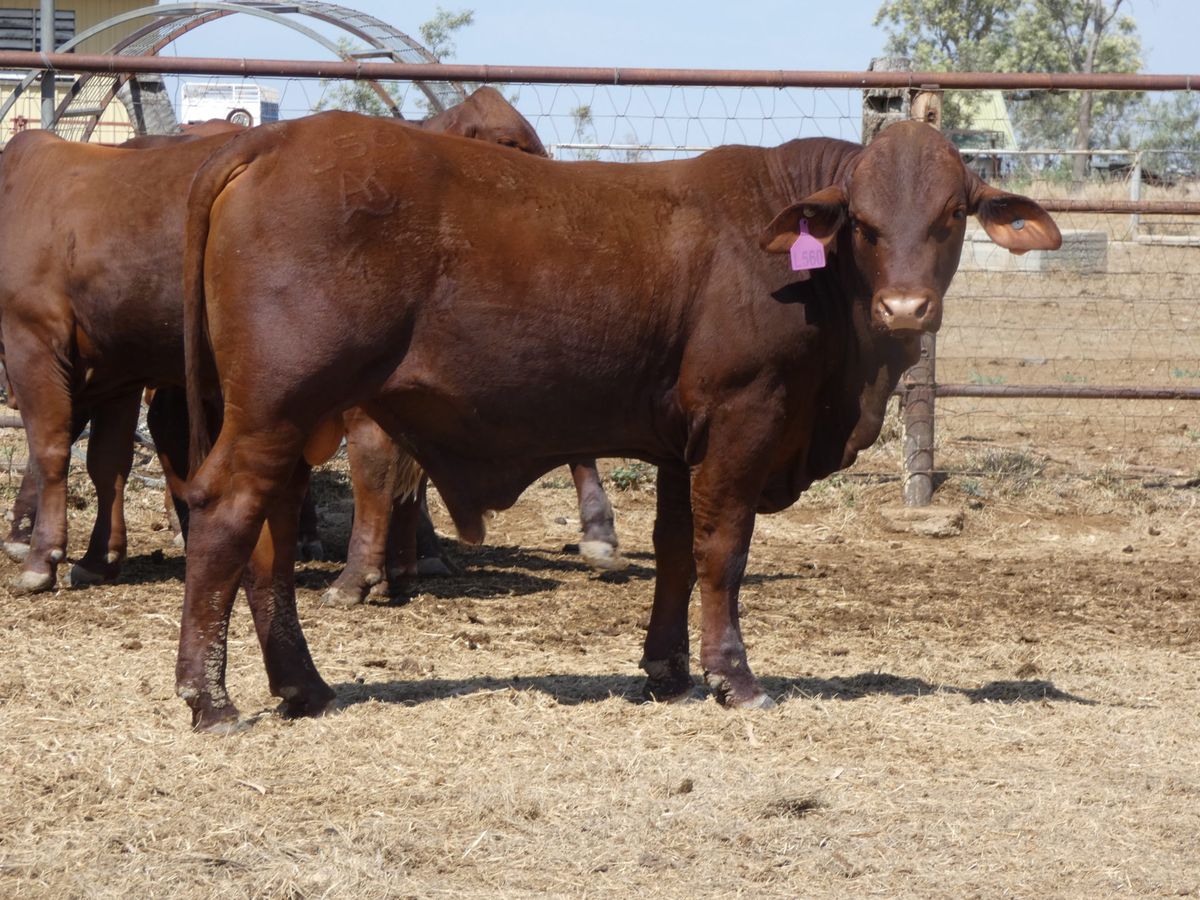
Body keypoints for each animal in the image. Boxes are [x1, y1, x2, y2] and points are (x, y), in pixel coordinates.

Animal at [0, 87, 617, 594]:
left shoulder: (56, 349)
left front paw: (50, 558)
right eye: (512, 143)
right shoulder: (95, 360)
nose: (561, 200)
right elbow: (94, 457)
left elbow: (65, 449)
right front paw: (85, 558)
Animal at [175, 114, 1059, 731]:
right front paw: (733, 677)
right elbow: (722, 549)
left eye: (951, 215)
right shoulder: (744, 416)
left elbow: (674, 548)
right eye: (864, 224)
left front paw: (667, 669)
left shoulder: (678, 440)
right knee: (225, 516)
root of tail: (274, 139)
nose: (905, 307)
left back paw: (304, 686)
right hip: (275, 409)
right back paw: (209, 698)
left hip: (294, 423)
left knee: (270, 541)